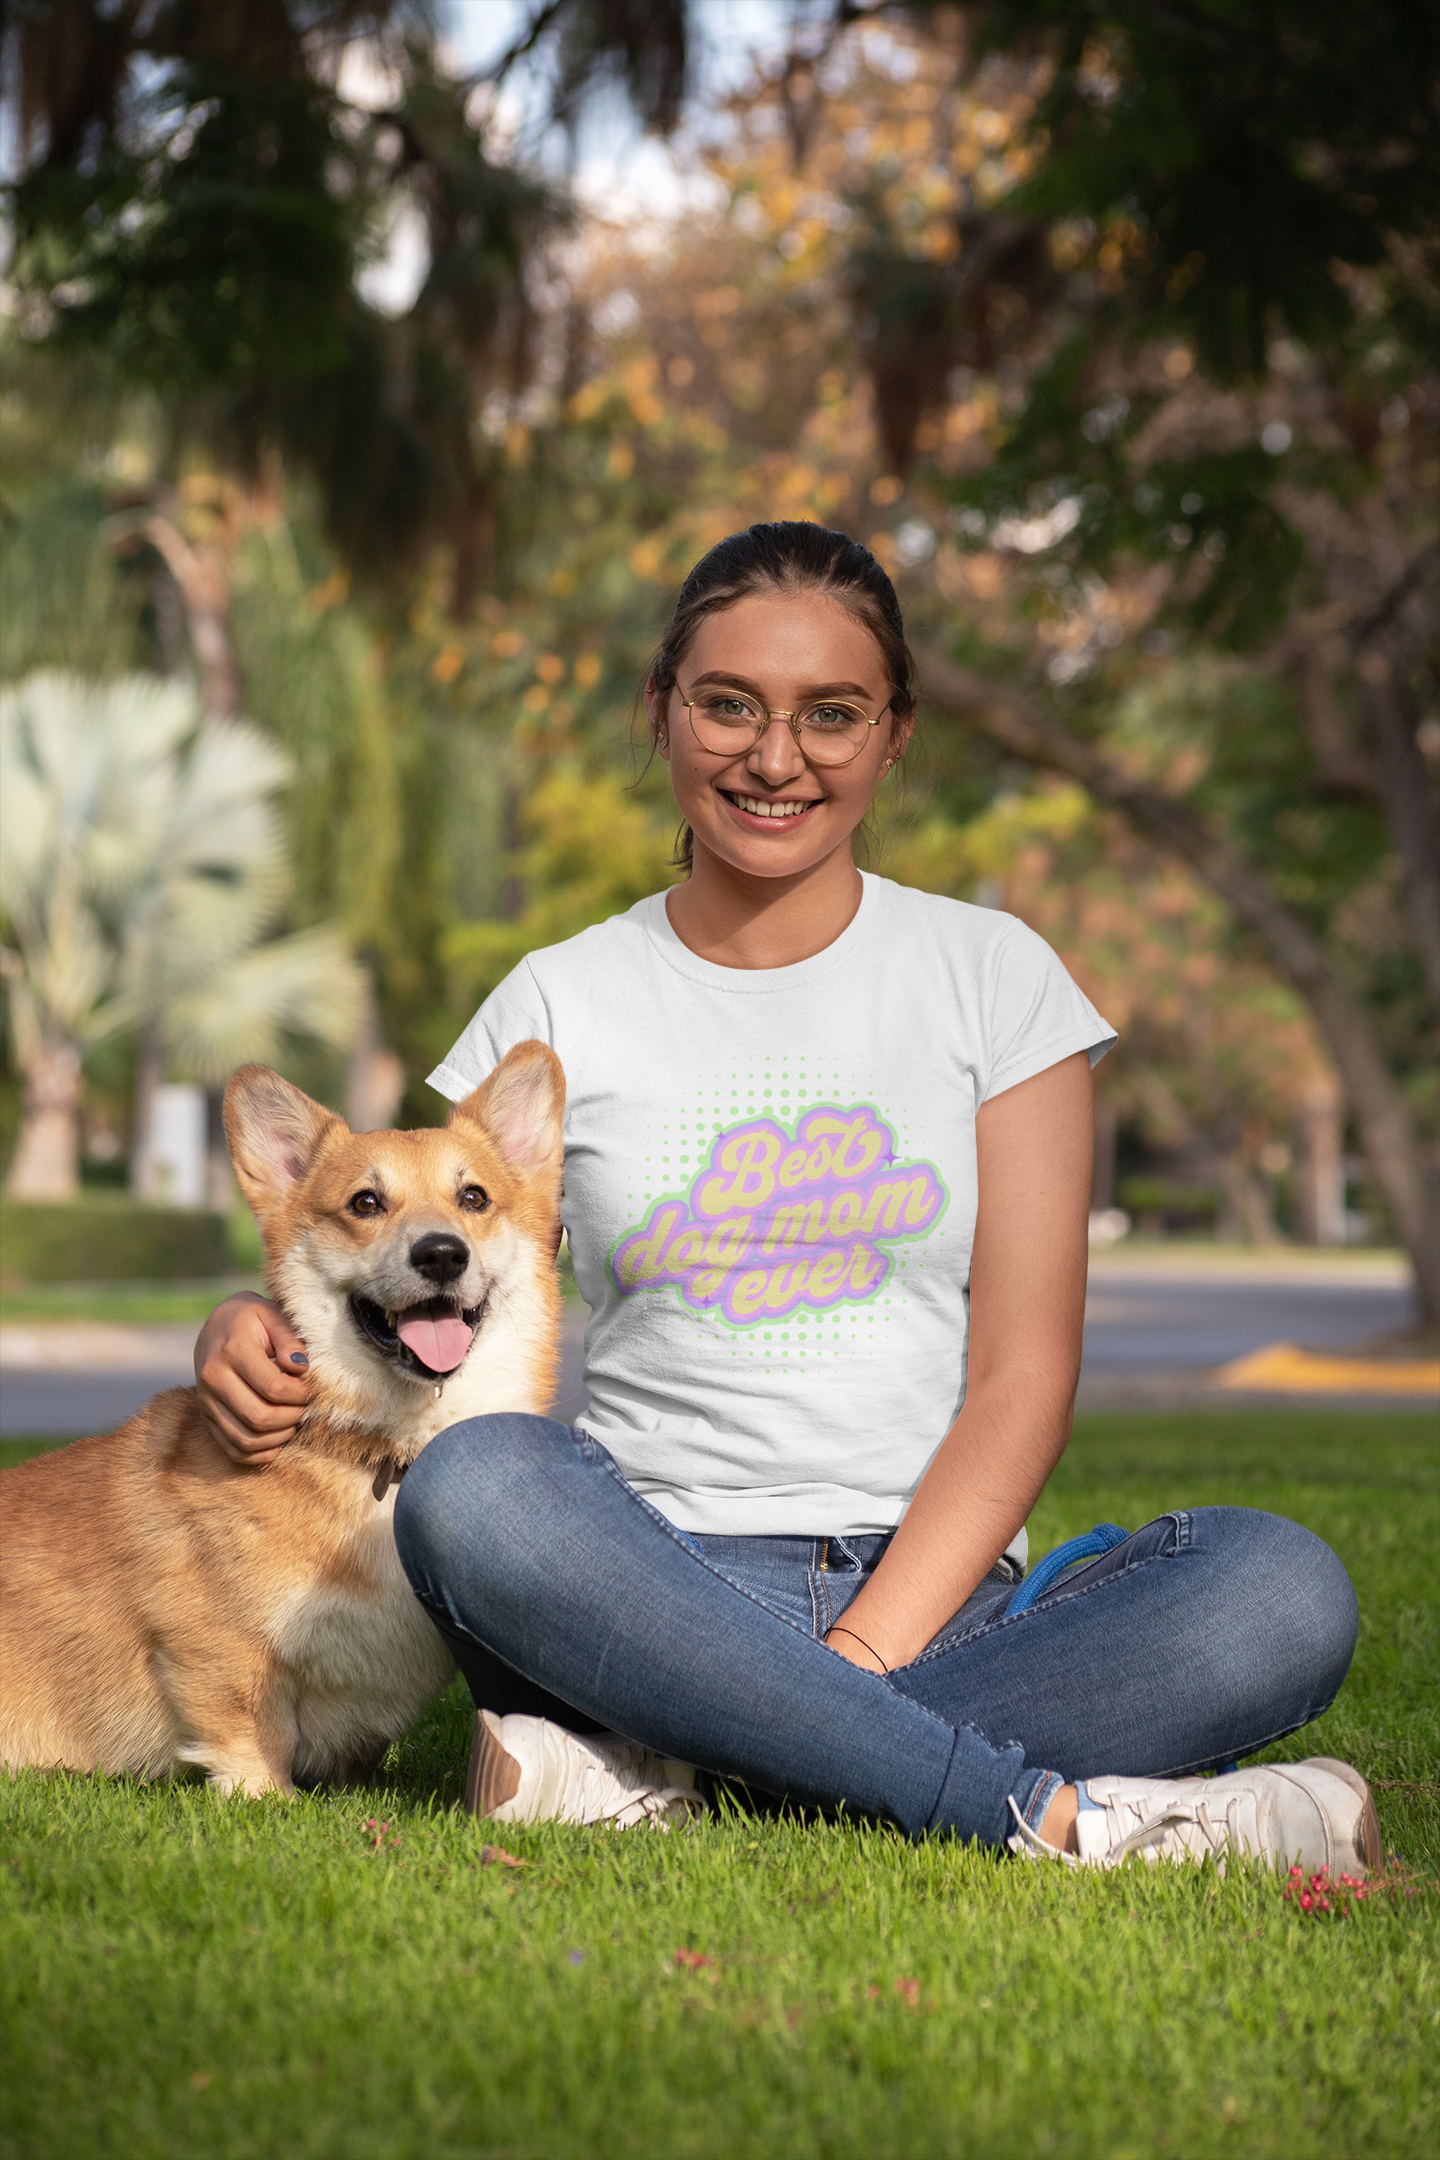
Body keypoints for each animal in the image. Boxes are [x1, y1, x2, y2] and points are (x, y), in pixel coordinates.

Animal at [0, 1036, 561, 1797]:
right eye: (365, 1202)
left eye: (473, 1198)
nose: (442, 1253)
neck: (383, 1449)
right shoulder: (220, 1648)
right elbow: (252, 1730)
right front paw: (266, 1796)